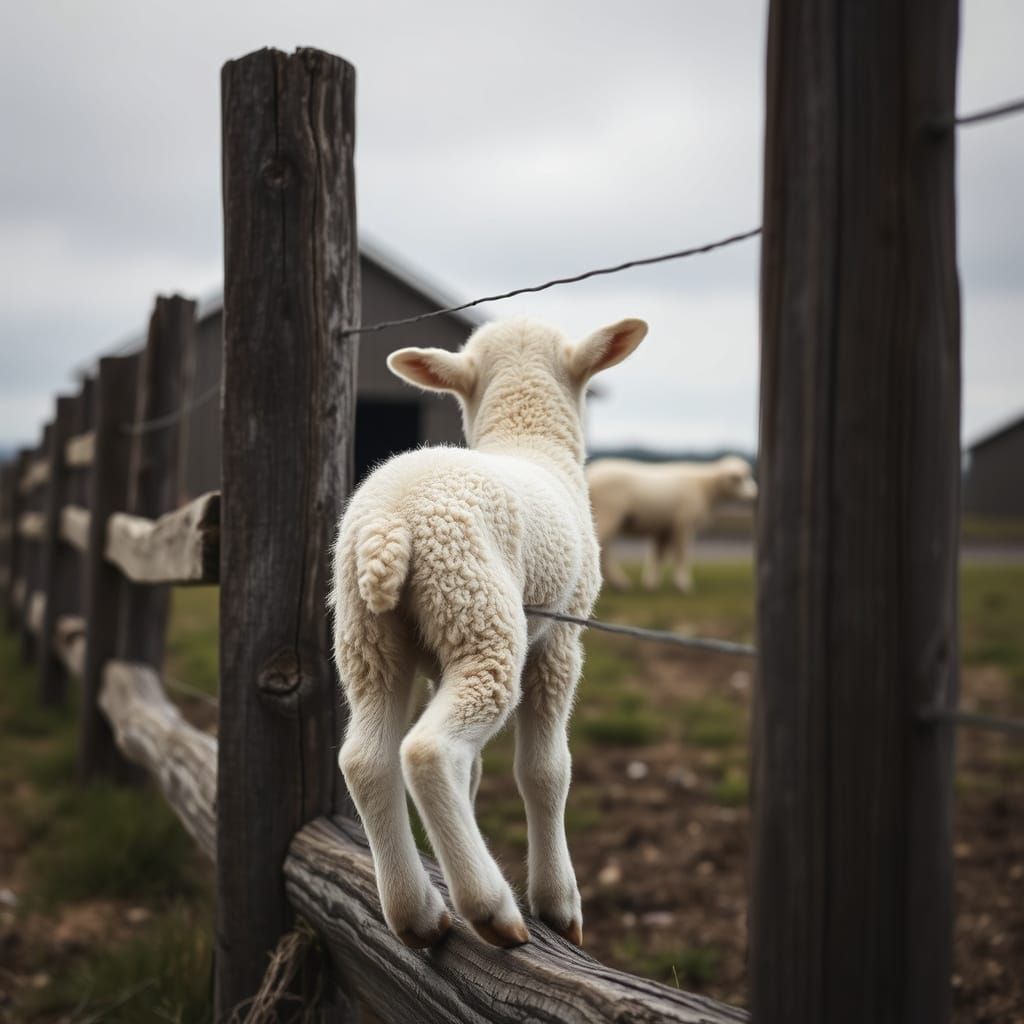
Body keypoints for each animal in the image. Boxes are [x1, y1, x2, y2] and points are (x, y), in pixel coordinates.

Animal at [330, 314, 648, 950]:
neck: (528, 439)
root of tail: (390, 525)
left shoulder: (434, 665)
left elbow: (476, 773)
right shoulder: (560, 642)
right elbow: (546, 771)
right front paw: (559, 903)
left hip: (370, 637)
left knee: (367, 760)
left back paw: (417, 913)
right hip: (482, 619)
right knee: (428, 751)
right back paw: (491, 907)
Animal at [586, 455, 757, 593]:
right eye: (740, 479)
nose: (754, 494)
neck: (705, 487)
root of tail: (591, 474)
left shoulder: (664, 528)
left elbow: (658, 556)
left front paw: (651, 583)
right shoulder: (683, 524)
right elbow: (682, 554)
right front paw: (683, 584)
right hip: (608, 514)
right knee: (602, 550)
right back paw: (619, 583)